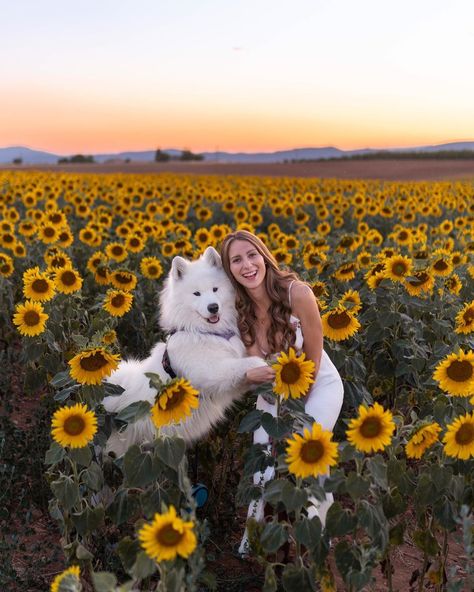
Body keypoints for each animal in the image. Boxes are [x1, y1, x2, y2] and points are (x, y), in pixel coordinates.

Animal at [103, 247, 266, 456]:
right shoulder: (209, 372)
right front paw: (264, 365)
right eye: (196, 294)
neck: (207, 333)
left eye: (215, 289)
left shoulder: (229, 386)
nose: (213, 307)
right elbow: (243, 364)